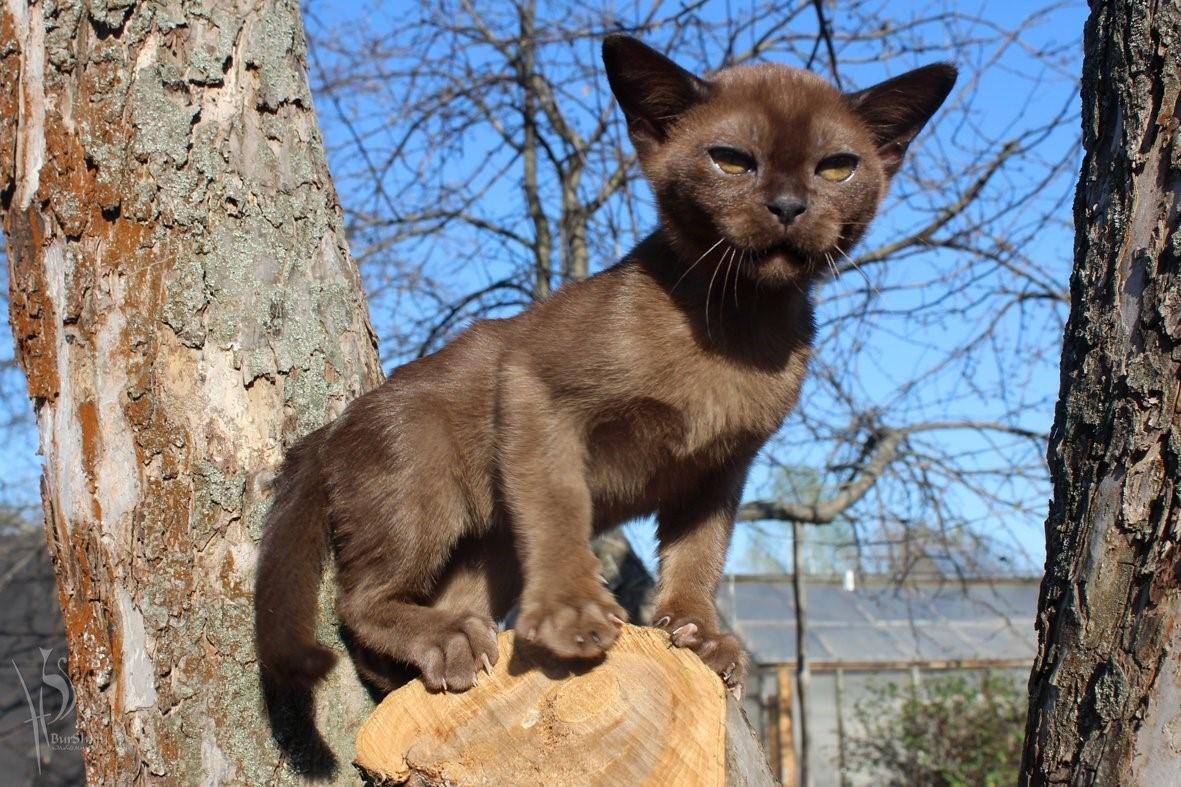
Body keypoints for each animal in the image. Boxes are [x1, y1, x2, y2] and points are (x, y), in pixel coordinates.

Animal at [253, 33, 954, 699]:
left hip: (493, 547)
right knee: (358, 602)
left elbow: (701, 556)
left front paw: (699, 635)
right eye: (731, 160)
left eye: (836, 169)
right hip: (422, 493)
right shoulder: (537, 387)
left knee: (422, 614)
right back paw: (447, 642)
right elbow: (563, 512)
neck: (740, 325)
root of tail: (332, 427)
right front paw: (574, 614)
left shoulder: (722, 467)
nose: (787, 205)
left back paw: (443, 654)